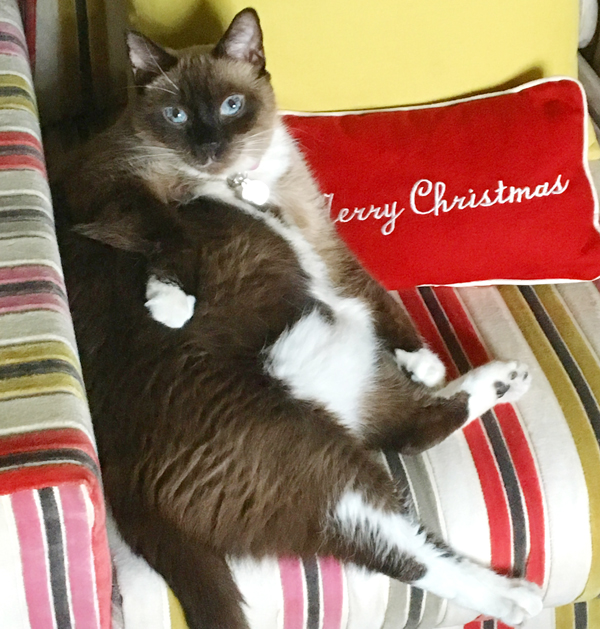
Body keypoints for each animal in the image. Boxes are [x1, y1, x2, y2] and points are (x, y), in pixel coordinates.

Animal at [53, 8, 543, 629]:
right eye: (177, 116)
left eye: (231, 106)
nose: (210, 147)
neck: (241, 184)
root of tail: (127, 491)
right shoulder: (111, 191)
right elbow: (169, 229)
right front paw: (171, 298)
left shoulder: (322, 235)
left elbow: (373, 288)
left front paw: (422, 359)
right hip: (312, 462)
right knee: (403, 525)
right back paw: (519, 597)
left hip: (340, 385)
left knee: (405, 427)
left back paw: (506, 379)